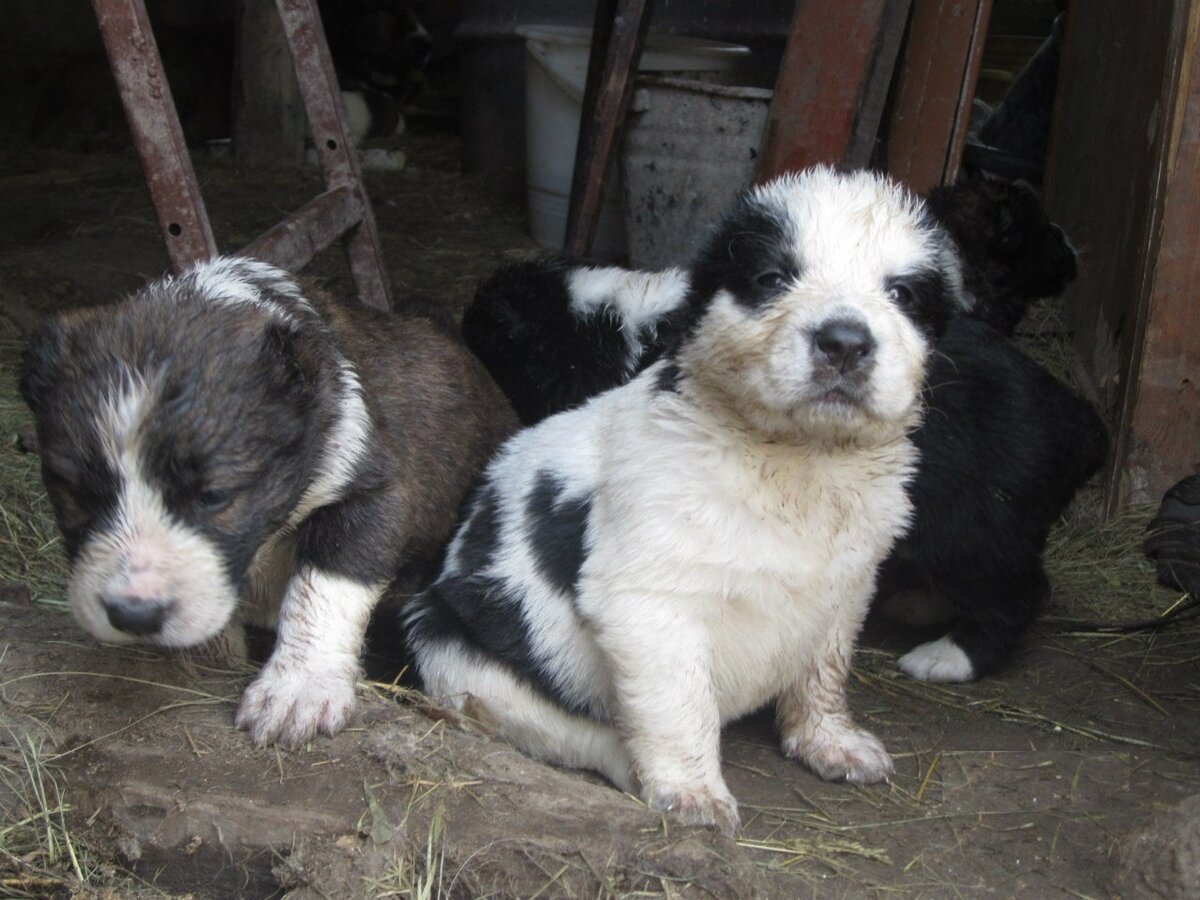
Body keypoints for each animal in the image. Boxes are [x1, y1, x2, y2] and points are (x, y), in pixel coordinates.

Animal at [19, 259, 516, 748]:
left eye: (215, 496)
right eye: (75, 492)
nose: (133, 614)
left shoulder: (373, 491)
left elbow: (324, 585)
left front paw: (298, 690)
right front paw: (215, 650)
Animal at [408, 165, 960, 835]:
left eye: (902, 294)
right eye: (772, 278)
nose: (845, 342)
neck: (797, 459)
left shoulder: (848, 584)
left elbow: (823, 671)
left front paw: (831, 742)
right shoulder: (649, 602)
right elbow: (680, 702)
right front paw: (693, 793)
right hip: (459, 654)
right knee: (573, 732)